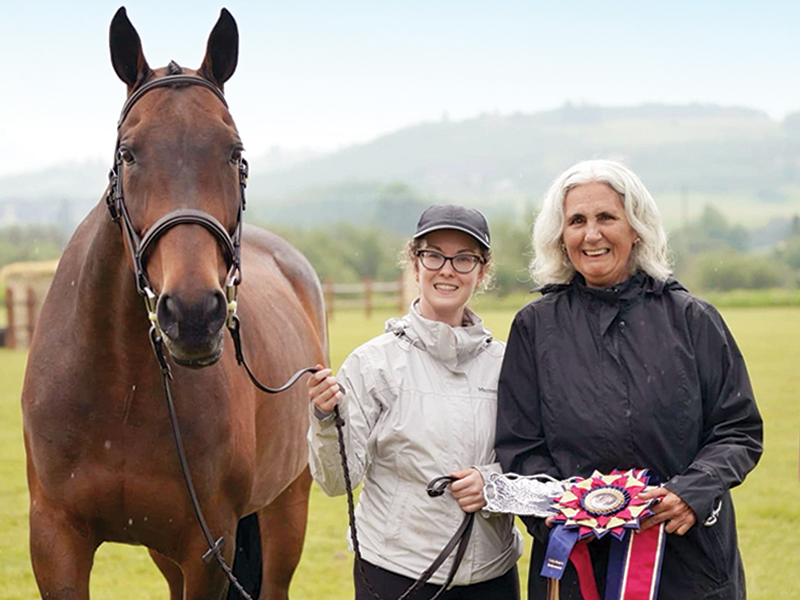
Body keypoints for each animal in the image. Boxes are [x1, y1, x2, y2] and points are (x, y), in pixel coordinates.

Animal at [21, 7, 326, 599]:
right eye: (128, 153)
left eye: (235, 153)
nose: (192, 315)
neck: (120, 387)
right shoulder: (55, 540)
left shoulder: (208, 549)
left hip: (287, 506)